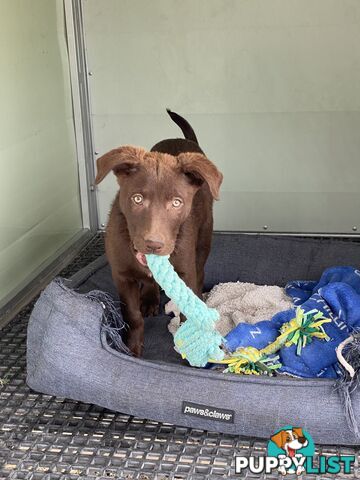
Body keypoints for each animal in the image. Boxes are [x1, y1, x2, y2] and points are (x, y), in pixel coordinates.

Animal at [95, 109, 222, 356]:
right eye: (137, 199)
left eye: (176, 203)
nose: (154, 245)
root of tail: (184, 140)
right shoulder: (122, 276)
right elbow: (132, 315)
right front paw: (132, 349)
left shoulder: (185, 272)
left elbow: (187, 312)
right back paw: (150, 299)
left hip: (204, 239)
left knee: (200, 271)